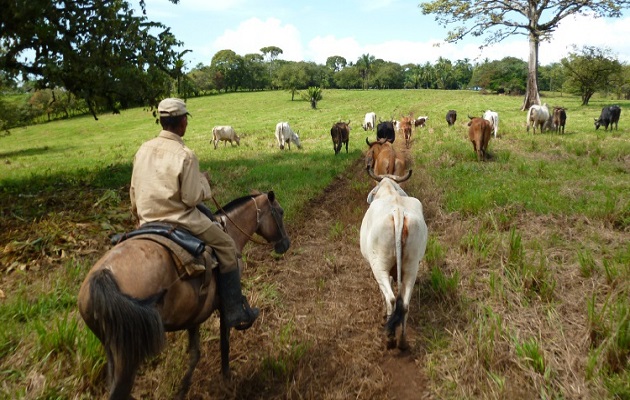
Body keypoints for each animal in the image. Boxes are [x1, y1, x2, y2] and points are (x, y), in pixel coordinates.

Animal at [77, 191, 292, 400]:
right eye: (280, 212)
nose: (286, 244)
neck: (230, 230)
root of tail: (103, 275)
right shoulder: (224, 306)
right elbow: (225, 343)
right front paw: (227, 379)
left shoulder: (194, 313)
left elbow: (195, 354)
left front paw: (183, 389)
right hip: (128, 355)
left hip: (112, 348)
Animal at [360, 169, 430, 350]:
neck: (390, 193)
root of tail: (398, 213)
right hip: (412, 267)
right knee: (404, 304)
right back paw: (402, 341)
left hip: (379, 266)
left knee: (391, 298)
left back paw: (390, 338)